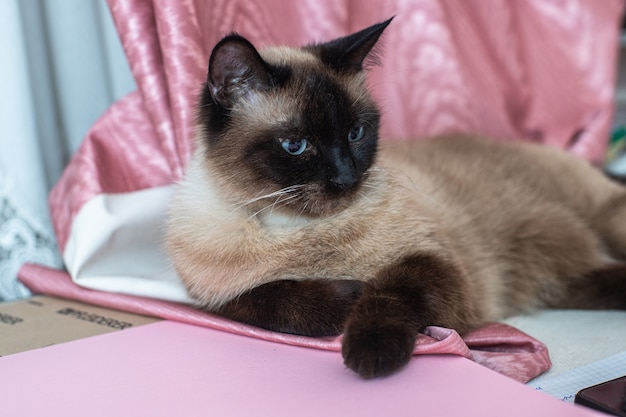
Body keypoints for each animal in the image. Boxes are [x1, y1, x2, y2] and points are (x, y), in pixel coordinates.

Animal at [165, 18, 624, 376]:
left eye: (356, 133)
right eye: (296, 145)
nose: (346, 177)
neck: (296, 229)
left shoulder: (436, 268)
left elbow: (390, 289)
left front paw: (371, 351)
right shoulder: (218, 301)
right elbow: (276, 298)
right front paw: (349, 294)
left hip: (603, 224)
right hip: (567, 281)